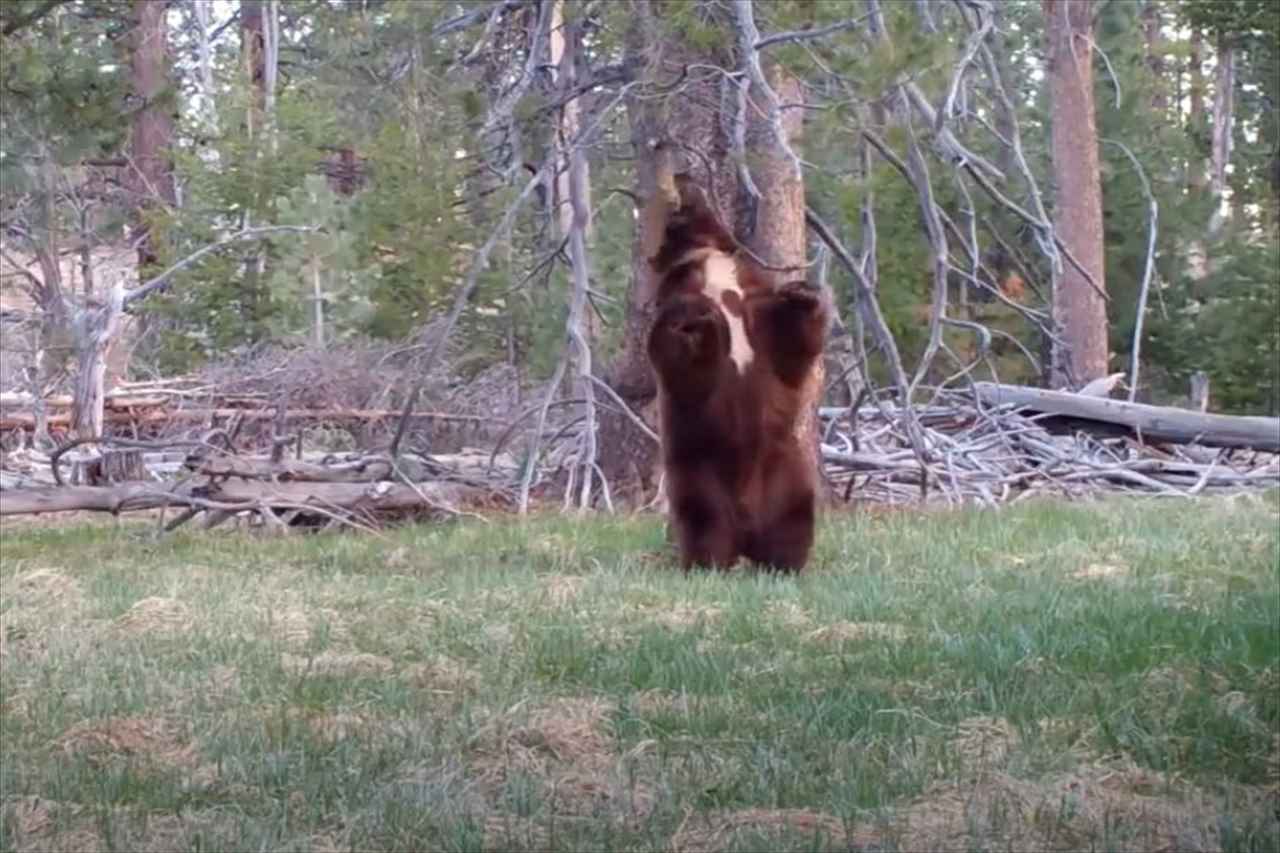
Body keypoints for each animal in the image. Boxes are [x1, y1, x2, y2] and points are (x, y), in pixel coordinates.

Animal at [645, 172, 834, 571]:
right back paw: (707, 564)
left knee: (794, 522)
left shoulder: (755, 299)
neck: (705, 259)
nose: (683, 175)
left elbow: (788, 339)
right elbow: (674, 353)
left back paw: (785, 564)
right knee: (702, 525)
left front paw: (803, 291)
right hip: (697, 478)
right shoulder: (673, 295)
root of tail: (747, 531)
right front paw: (698, 320)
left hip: (789, 475)